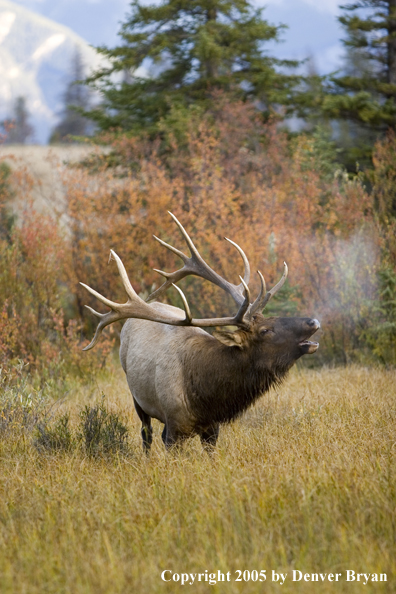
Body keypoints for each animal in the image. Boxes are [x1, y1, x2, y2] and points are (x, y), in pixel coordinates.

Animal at [80, 213, 318, 448]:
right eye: (265, 330)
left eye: (272, 318)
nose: (313, 322)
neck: (206, 398)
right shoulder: (174, 426)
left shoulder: (212, 427)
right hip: (136, 396)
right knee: (146, 434)